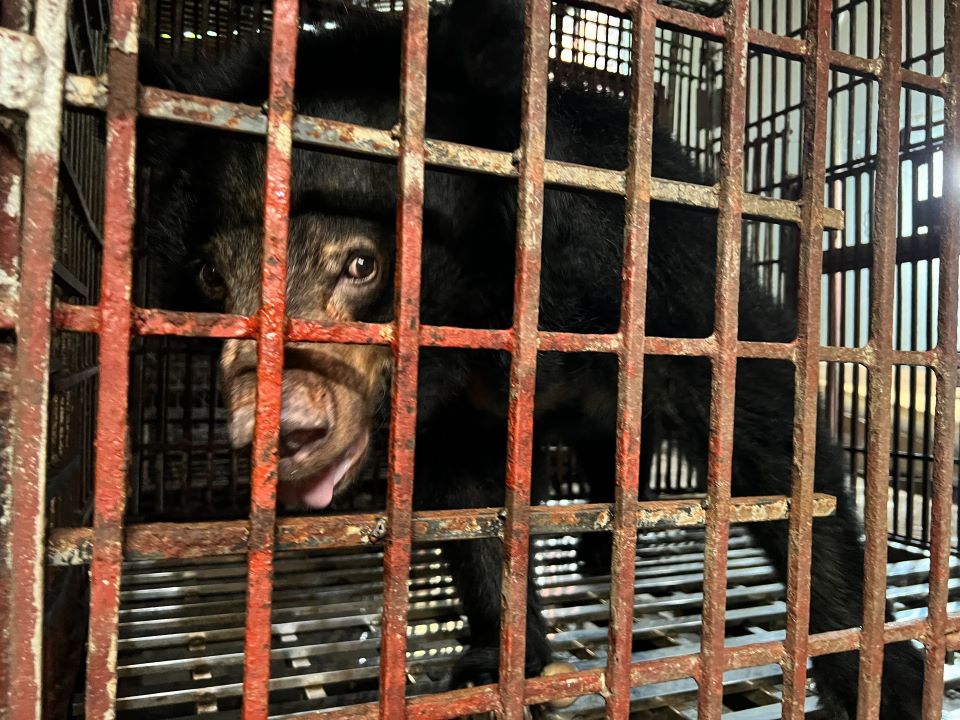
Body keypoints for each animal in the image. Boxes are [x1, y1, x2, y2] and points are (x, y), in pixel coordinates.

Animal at [137, 1, 928, 716]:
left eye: (363, 264)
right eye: (213, 278)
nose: (281, 429)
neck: (487, 302)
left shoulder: (646, 255)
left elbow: (765, 422)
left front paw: (874, 671)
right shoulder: (454, 405)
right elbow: (469, 502)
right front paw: (498, 662)